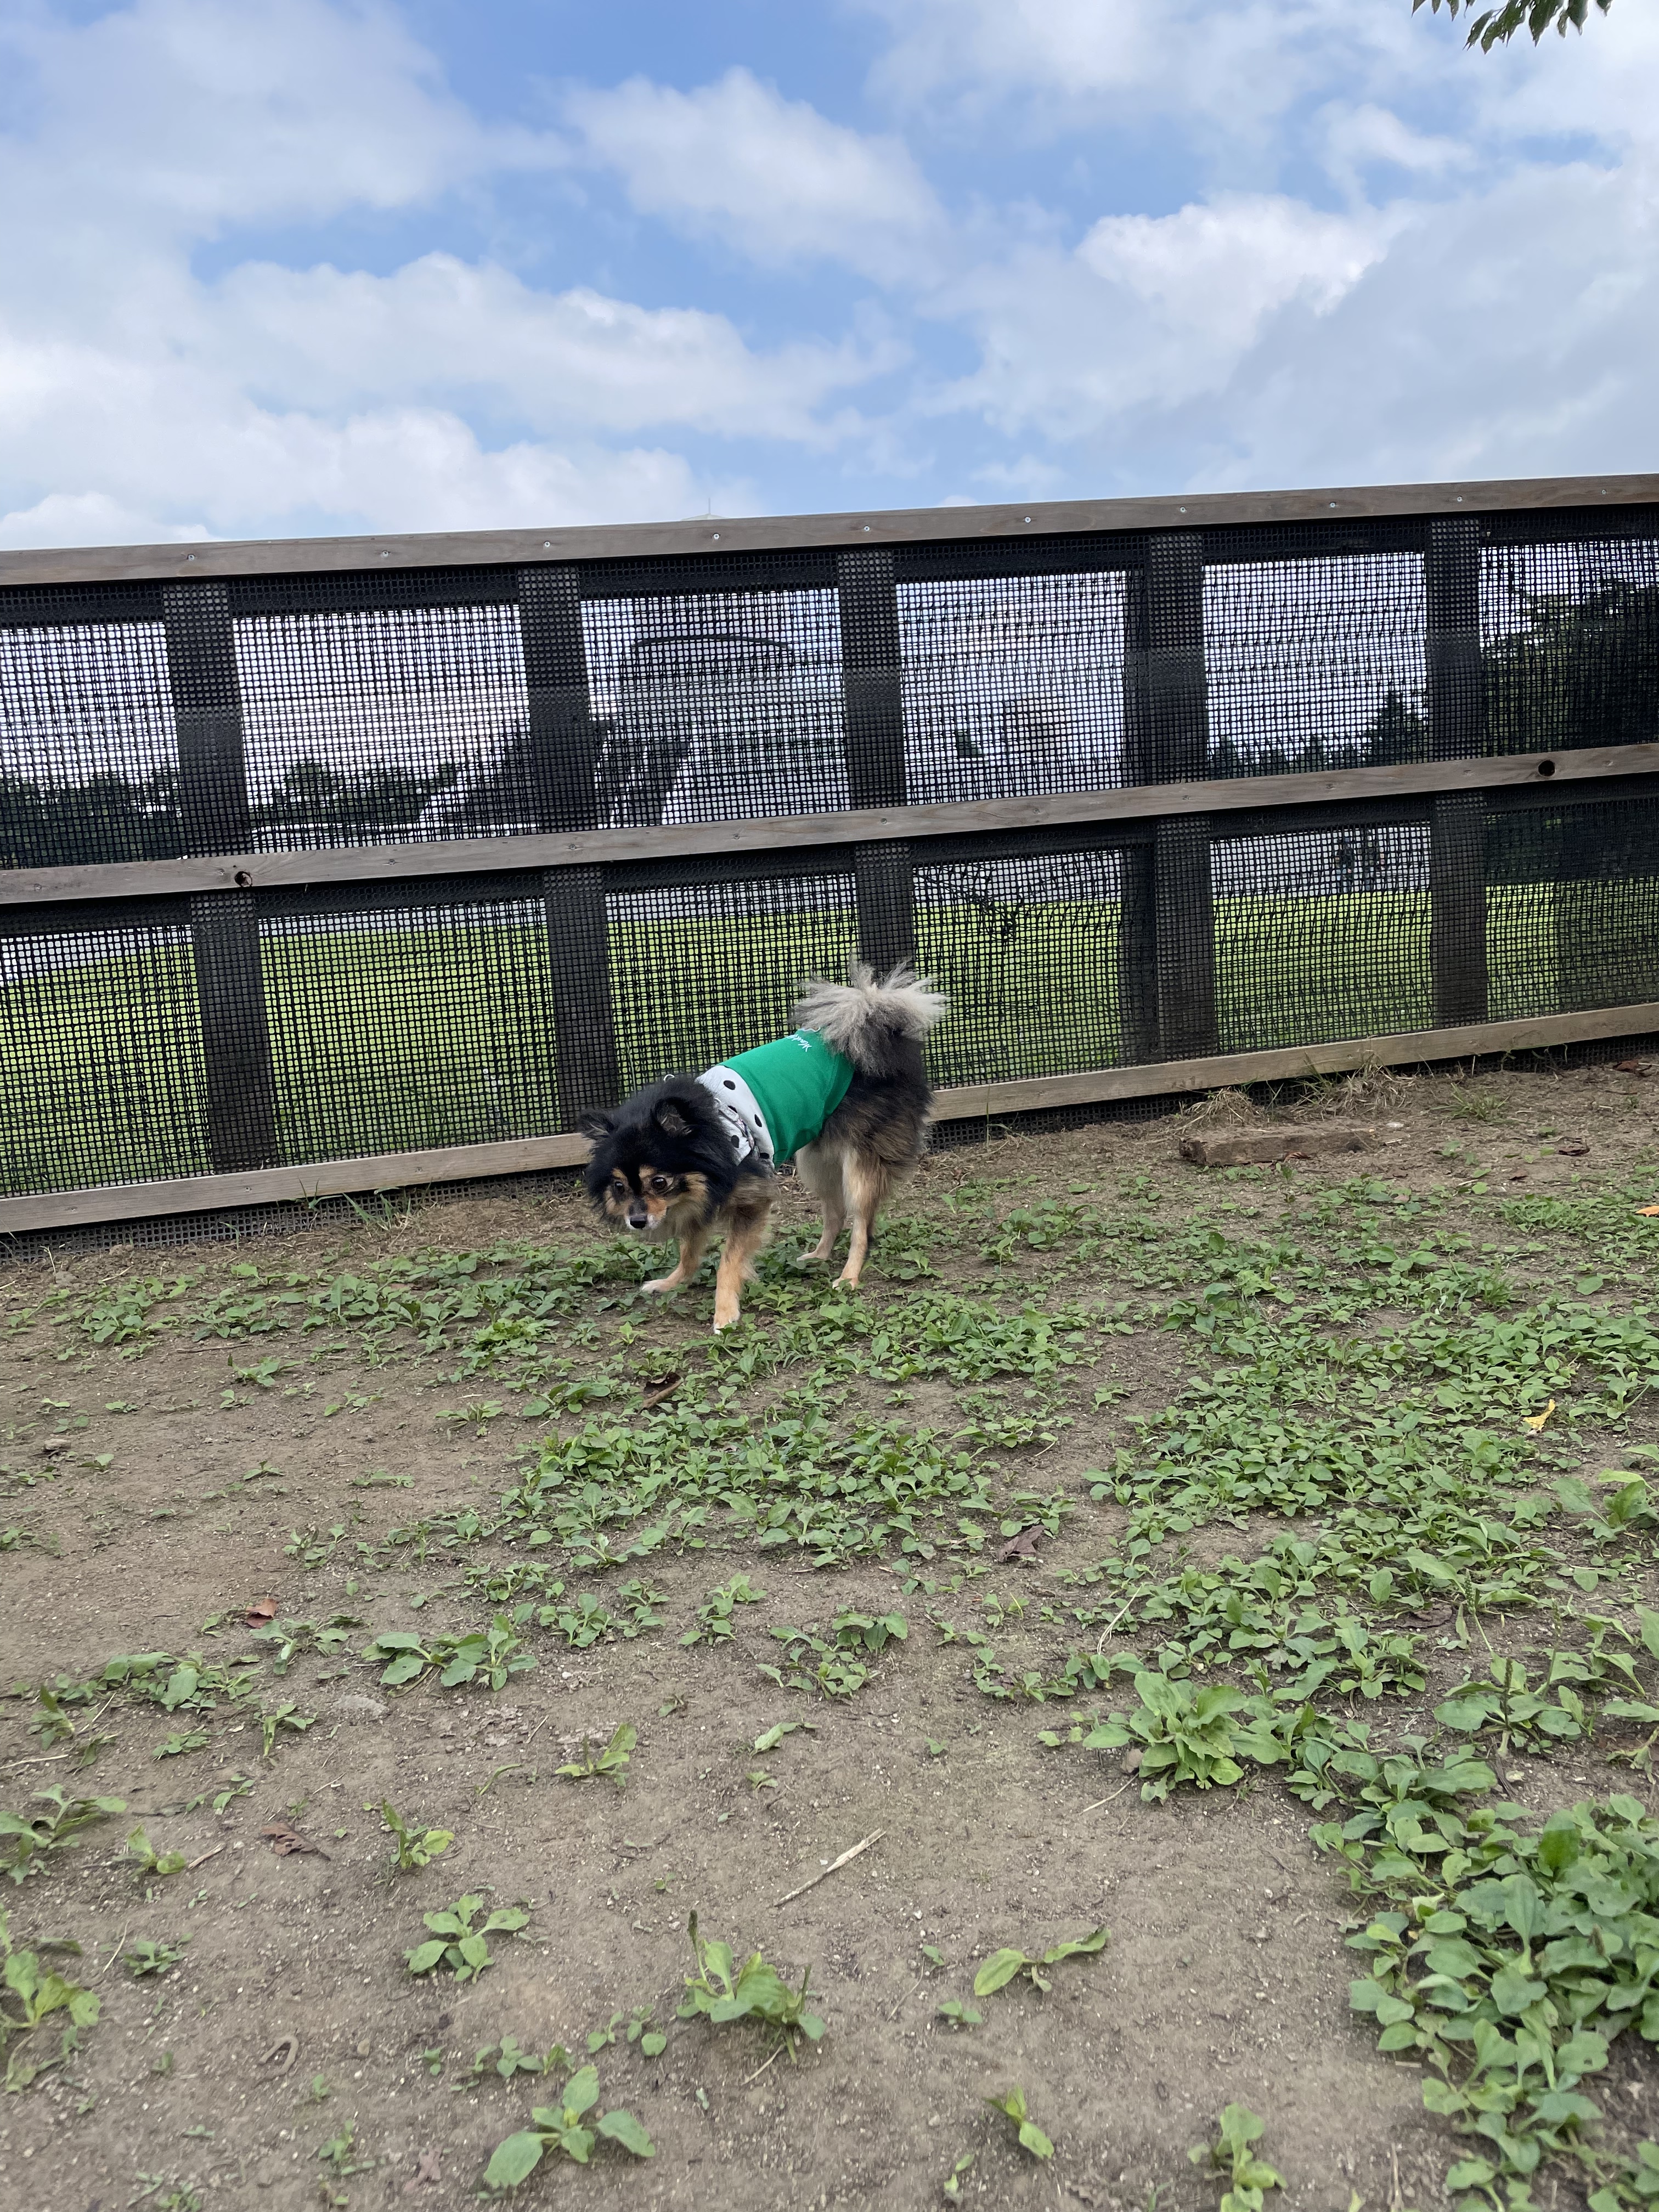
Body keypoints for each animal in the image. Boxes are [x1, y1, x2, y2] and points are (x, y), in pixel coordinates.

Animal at [579, 969, 946, 1327]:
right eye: (619, 1187)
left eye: (659, 1182)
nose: (637, 1222)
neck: (712, 1138)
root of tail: (878, 1028)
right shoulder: (702, 1199)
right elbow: (689, 1250)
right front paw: (673, 1281)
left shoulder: (750, 1201)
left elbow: (729, 1261)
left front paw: (725, 1312)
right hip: (817, 1161)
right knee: (835, 1211)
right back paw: (820, 1255)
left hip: (858, 1167)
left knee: (860, 1226)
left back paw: (849, 1276)